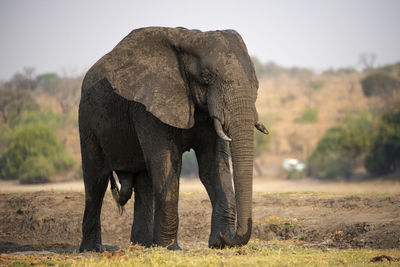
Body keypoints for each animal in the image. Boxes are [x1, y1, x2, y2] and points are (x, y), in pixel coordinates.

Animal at [78, 27, 268, 253]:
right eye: (205, 76)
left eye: (254, 80)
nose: (227, 238)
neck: (189, 39)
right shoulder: (149, 106)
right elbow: (167, 163)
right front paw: (170, 249)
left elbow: (212, 167)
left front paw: (218, 244)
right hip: (87, 120)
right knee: (95, 180)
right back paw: (92, 249)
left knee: (143, 181)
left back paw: (142, 246)